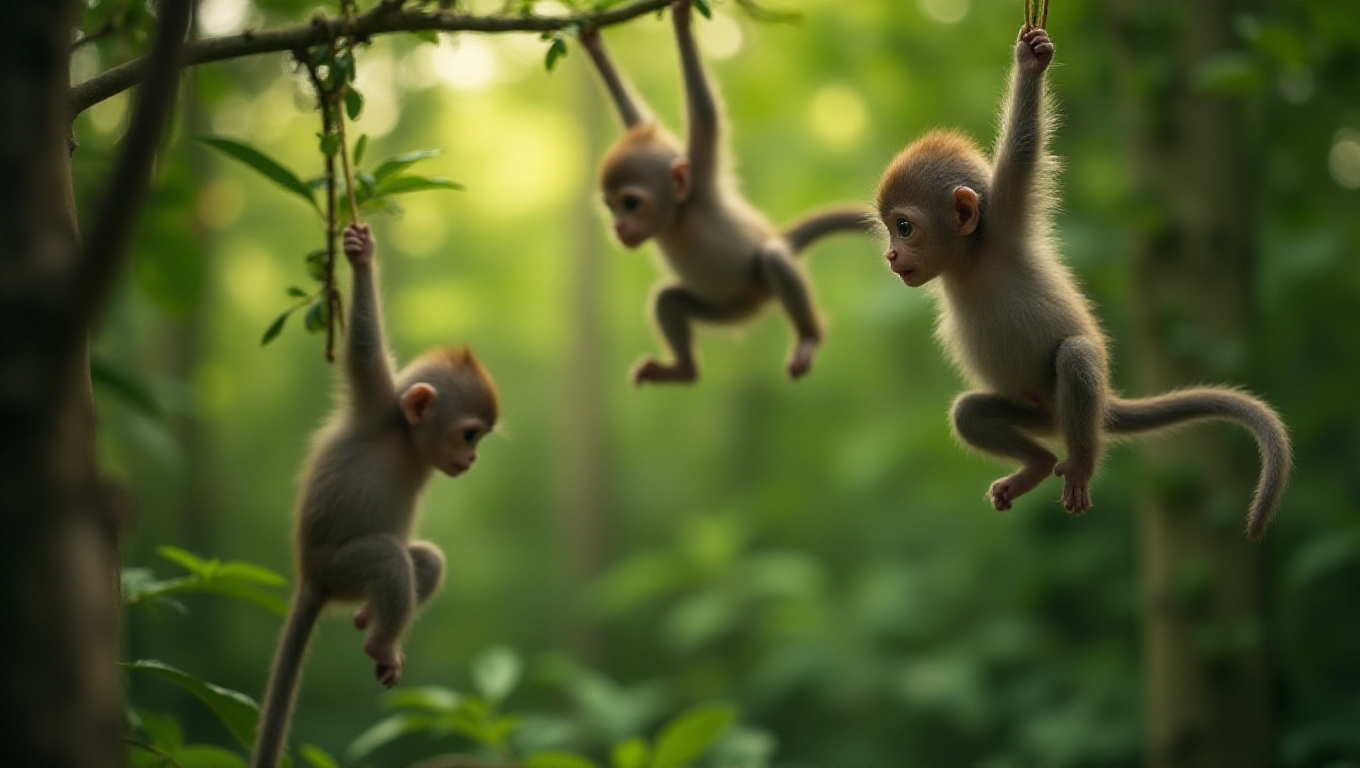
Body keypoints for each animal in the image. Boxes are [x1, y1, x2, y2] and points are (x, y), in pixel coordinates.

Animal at [250, 224, 499, 768]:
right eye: (470, 435)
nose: (473, 461)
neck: (403, 438)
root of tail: (310, 576)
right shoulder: (374, 401)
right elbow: (363, 351)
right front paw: (361, 259)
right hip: (338, 567)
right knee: (386, 558)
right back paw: (379, 644)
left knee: (423, 560)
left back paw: (371, 621)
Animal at [580, 0, 870, 384]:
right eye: (612, 207)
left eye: (630, 204)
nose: (619, 227)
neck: (678, 218)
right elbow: (636, 117)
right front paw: (594, 47)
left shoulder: (701, 178)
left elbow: (704, 113)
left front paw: (681, 20)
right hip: (728, 310)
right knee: (669, 298)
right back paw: (683, 370)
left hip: (757, 288)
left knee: (773, 259)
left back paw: (808, 338)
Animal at [874, 26, 1291, 538]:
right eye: (890, 230)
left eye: (905, 227)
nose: (892, 255)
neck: (970, 261)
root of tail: (1098, 410)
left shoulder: (1008, 216)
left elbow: (1023, 148)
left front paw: (1031, 63)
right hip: (1035, 414)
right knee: (969, 412)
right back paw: (1035, 465)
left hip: (1073, 409)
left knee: (1075, 355)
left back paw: (1080, 466)